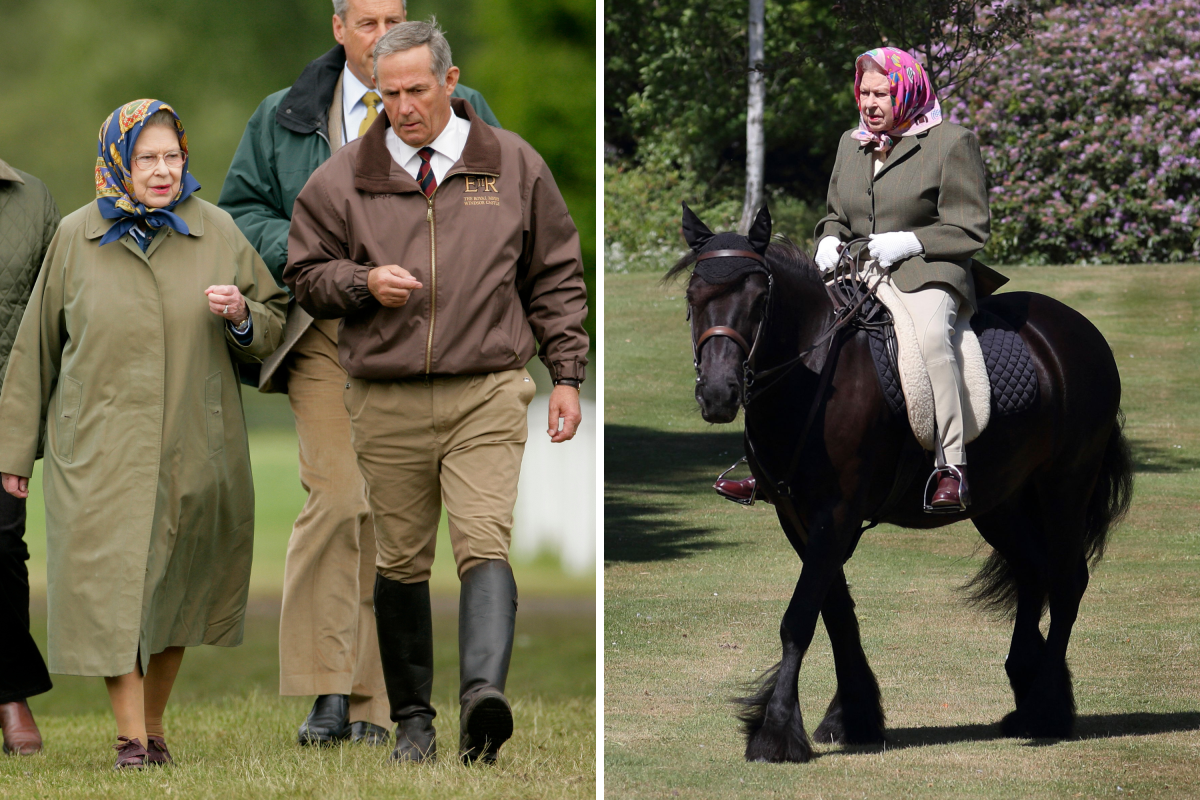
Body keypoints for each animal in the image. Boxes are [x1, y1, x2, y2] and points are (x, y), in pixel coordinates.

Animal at [667, 205, 1132, 762]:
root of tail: (1076, 330)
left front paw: (776, 732)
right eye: (693, 298)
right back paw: (1028, 689)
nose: (718, 394)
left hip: (1065, 484)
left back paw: (1046, 708)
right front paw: (853, 716)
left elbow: (799, 618)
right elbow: (836, 612)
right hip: (1000, 502)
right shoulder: (797, 516)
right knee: (1032, 572)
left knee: (1065, 581)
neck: (814, 372)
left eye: (760, 300)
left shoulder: (837, 512)